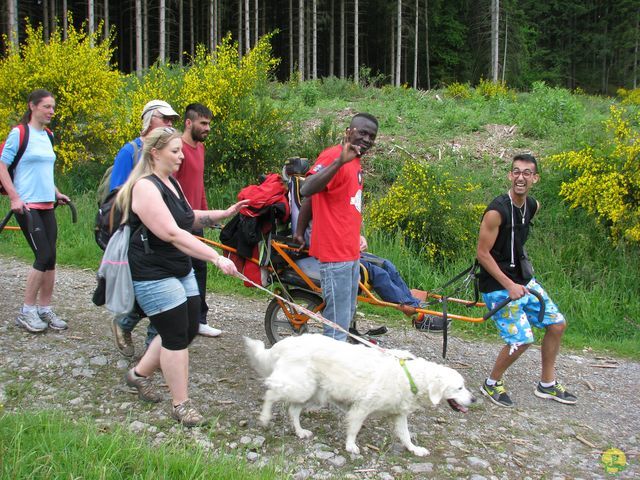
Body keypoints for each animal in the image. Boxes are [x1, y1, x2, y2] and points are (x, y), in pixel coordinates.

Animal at [242, 332, 472, 456]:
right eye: (459, 388)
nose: (474, 398)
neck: (410, 375)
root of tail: (284, 342)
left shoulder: (398, 414)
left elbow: (406, 435)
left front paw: (414, 449)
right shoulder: (362, 406)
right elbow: (354, 428)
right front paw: (351, 446)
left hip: (311, 392)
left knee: (292, 410)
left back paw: (300, 432)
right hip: (300, 387)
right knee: (271, 392)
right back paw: (264, 417)